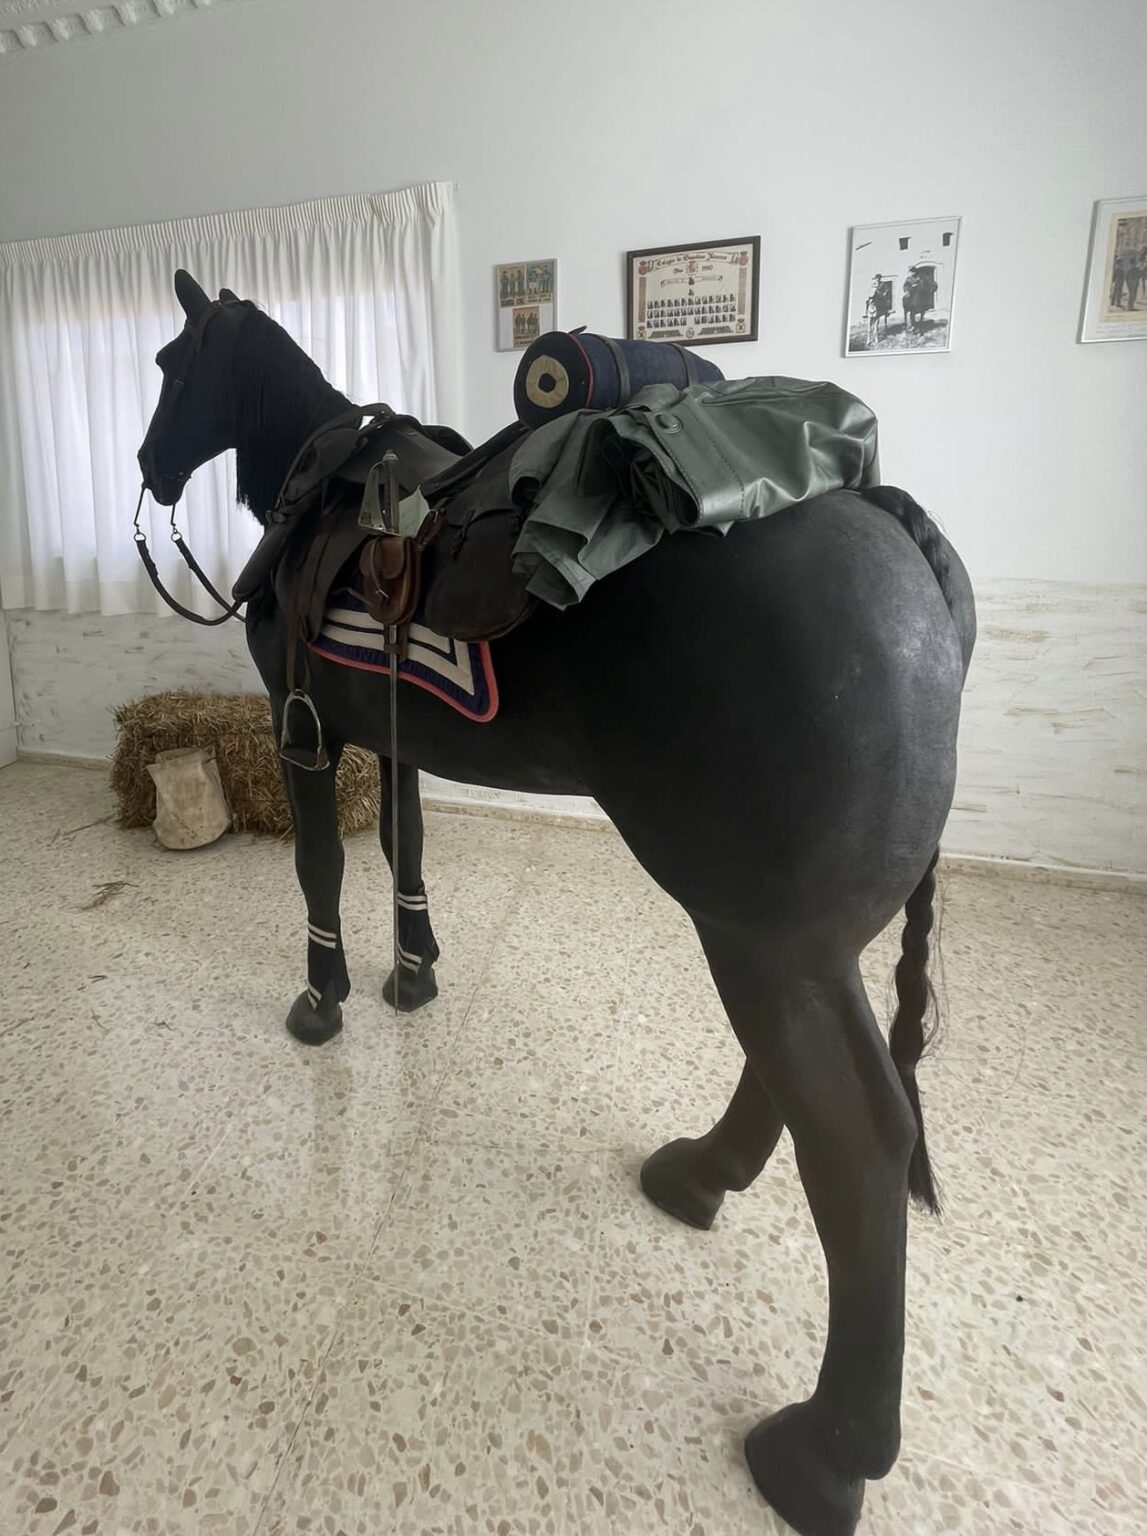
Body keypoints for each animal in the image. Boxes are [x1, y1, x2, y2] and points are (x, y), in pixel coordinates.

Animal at [137, 269, 976, 1536]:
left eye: (169, 365)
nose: (145, 464)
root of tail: (883, 515)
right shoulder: (397, 738)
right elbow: (407, 848)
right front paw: (413, 973)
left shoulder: (304, 732)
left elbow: (323, 870)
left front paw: (326, 995)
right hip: (789, 942)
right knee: (796, 1089)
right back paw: (702, 1175)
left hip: (764, 944)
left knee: (861, 1143)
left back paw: (829, 1449)